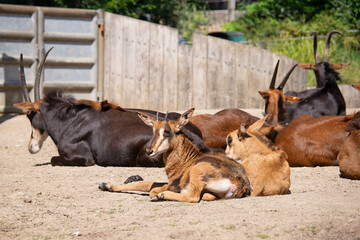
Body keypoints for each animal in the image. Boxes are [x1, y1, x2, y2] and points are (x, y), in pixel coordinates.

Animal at [97, 109, 252, 202]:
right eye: (153, 130)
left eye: (167, 131)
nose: (149, 151)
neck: (187, 160)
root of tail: (241, 181)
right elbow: (145, 184)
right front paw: (105, 185)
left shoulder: (172, 184)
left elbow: (151, 188)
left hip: (196, 172)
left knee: (192, 197)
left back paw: (161, 196)